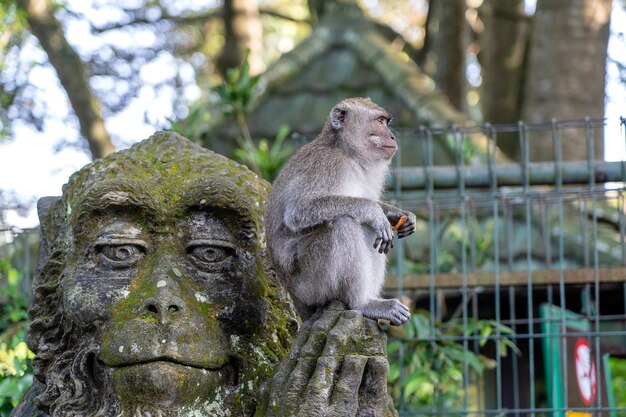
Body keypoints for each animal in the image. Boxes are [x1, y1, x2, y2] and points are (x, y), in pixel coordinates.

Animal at [264, 97, 414, 324]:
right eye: (380, 121)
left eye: (386, 121)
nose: (392, 136)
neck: (347, 153)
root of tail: (295, 299)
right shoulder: (327, 165)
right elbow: (298, 211)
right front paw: (374, 212)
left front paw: (400, 215)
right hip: (310, 285)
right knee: (344, 223)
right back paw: (362, 303)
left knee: (369, 230)